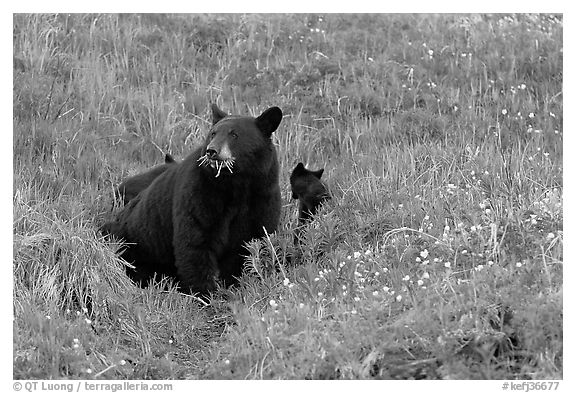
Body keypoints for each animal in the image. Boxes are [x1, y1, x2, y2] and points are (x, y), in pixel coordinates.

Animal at [103, 104, 286, 294]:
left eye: (234, 134)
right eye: (213, 133)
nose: (212, 151)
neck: (237, 185)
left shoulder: (263, 195)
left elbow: (248, 242)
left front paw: (232, 286)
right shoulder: (201, 192)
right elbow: (195, 240)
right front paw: (203, 293)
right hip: (131, 239)